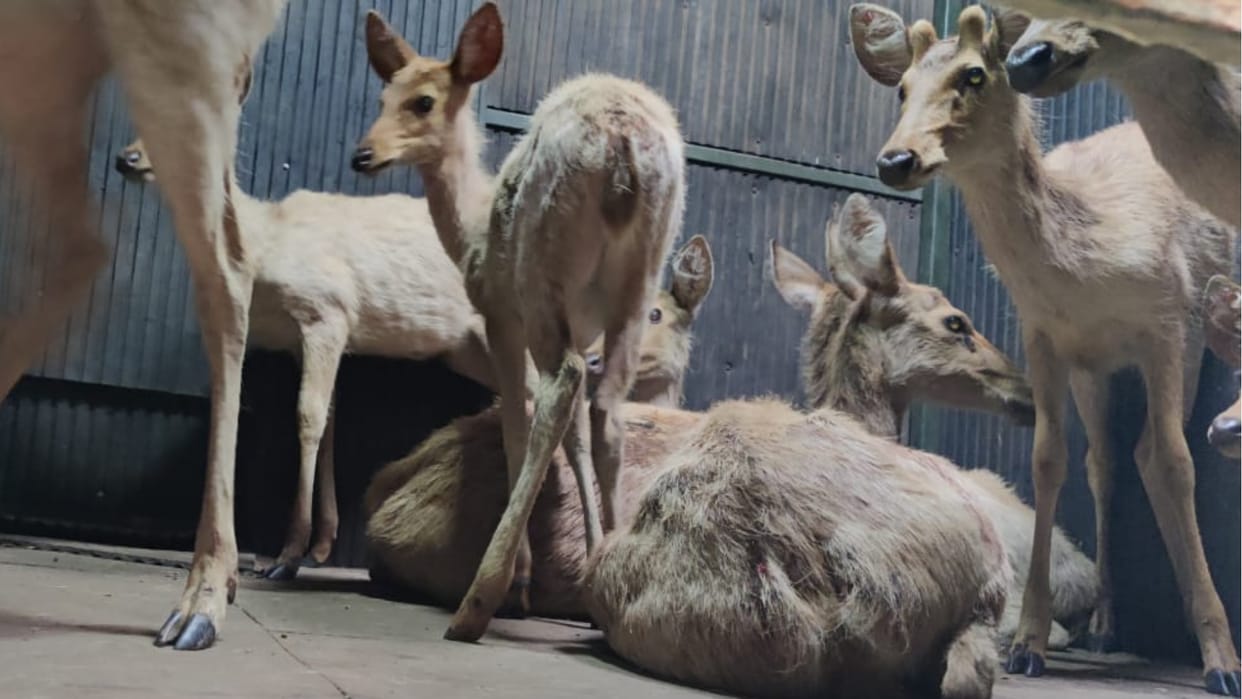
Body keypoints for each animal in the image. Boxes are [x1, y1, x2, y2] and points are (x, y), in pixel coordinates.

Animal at [113, 131, 503, 581]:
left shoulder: (326, 311)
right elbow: (330, 419)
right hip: (468, 349)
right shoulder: (303, 340)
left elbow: (308, 417)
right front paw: (320, 545)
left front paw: (289, 555)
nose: (126, 158)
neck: (263, 245)